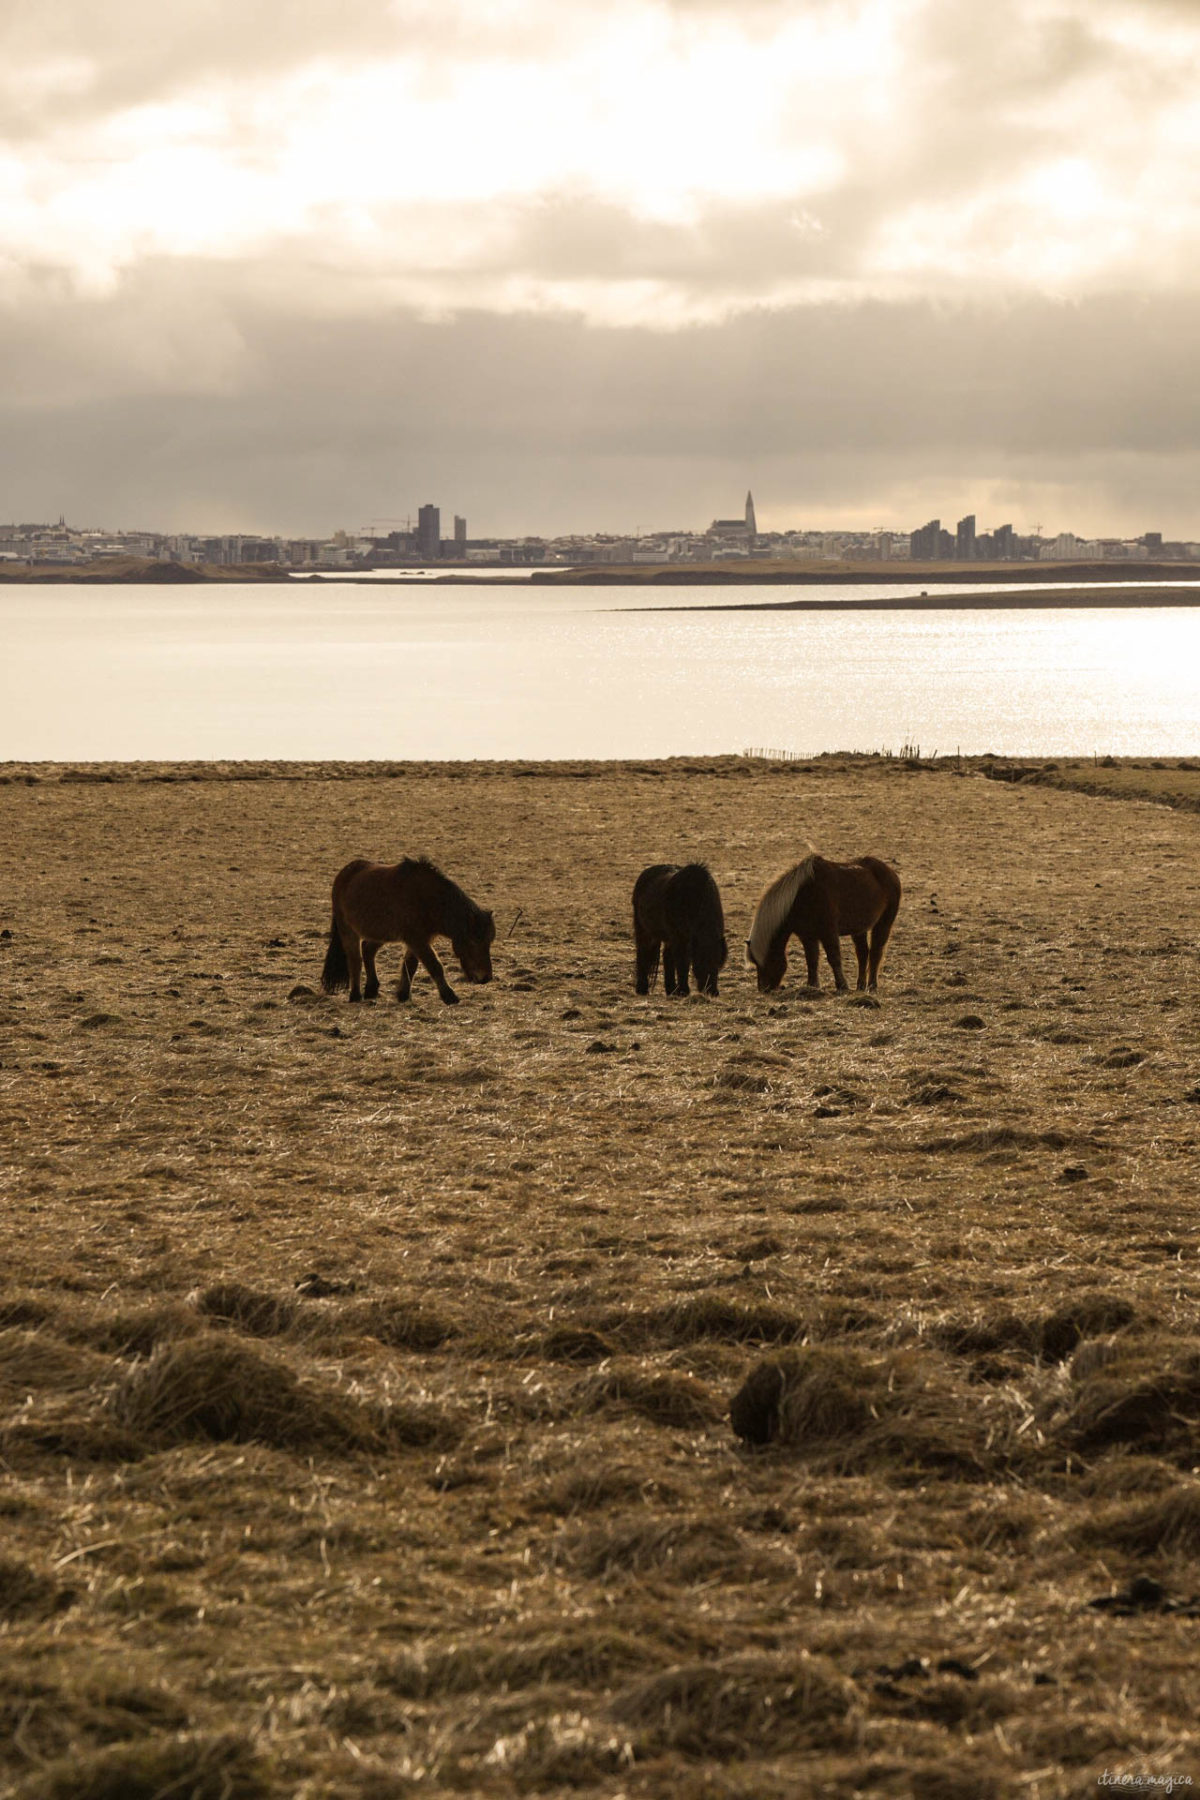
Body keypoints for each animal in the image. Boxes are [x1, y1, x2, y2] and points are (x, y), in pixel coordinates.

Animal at [322, 853, 496, 1008]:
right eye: (473, 941)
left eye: (489, 942)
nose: (485, 977)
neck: (427, 899)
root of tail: (345, 873)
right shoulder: (416, 939)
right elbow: (434, 965)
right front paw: (449, 996)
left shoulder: (420, 939)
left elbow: (410, 965)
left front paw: (403, 995)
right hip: (348, 931)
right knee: (355, 960)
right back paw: (355, 995)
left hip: (381, 934)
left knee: (368, 951)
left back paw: (371, 989)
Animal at [633, 860, 726, 1000]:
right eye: (701, 962)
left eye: (718, 963)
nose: (712, 992)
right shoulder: (681, 938)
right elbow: (683, 962)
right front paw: (684, 991)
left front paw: (679, 990)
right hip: (644, 931)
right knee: (643, 954)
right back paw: (642, 989)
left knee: (667, 956)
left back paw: (671, 989)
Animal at [744, 849, 906, 993]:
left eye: (768, 960)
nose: (763, 988)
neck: (801, 896)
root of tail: (891, 873)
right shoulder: (807, 935)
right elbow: (811, 959)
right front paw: (812, 985)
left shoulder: (828, 932)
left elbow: (833, 957)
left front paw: (842, 985)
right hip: (859, 929)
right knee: (862, 953)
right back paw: (860, 985)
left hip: (883, 924)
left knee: (875, 953)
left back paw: (872, 986)